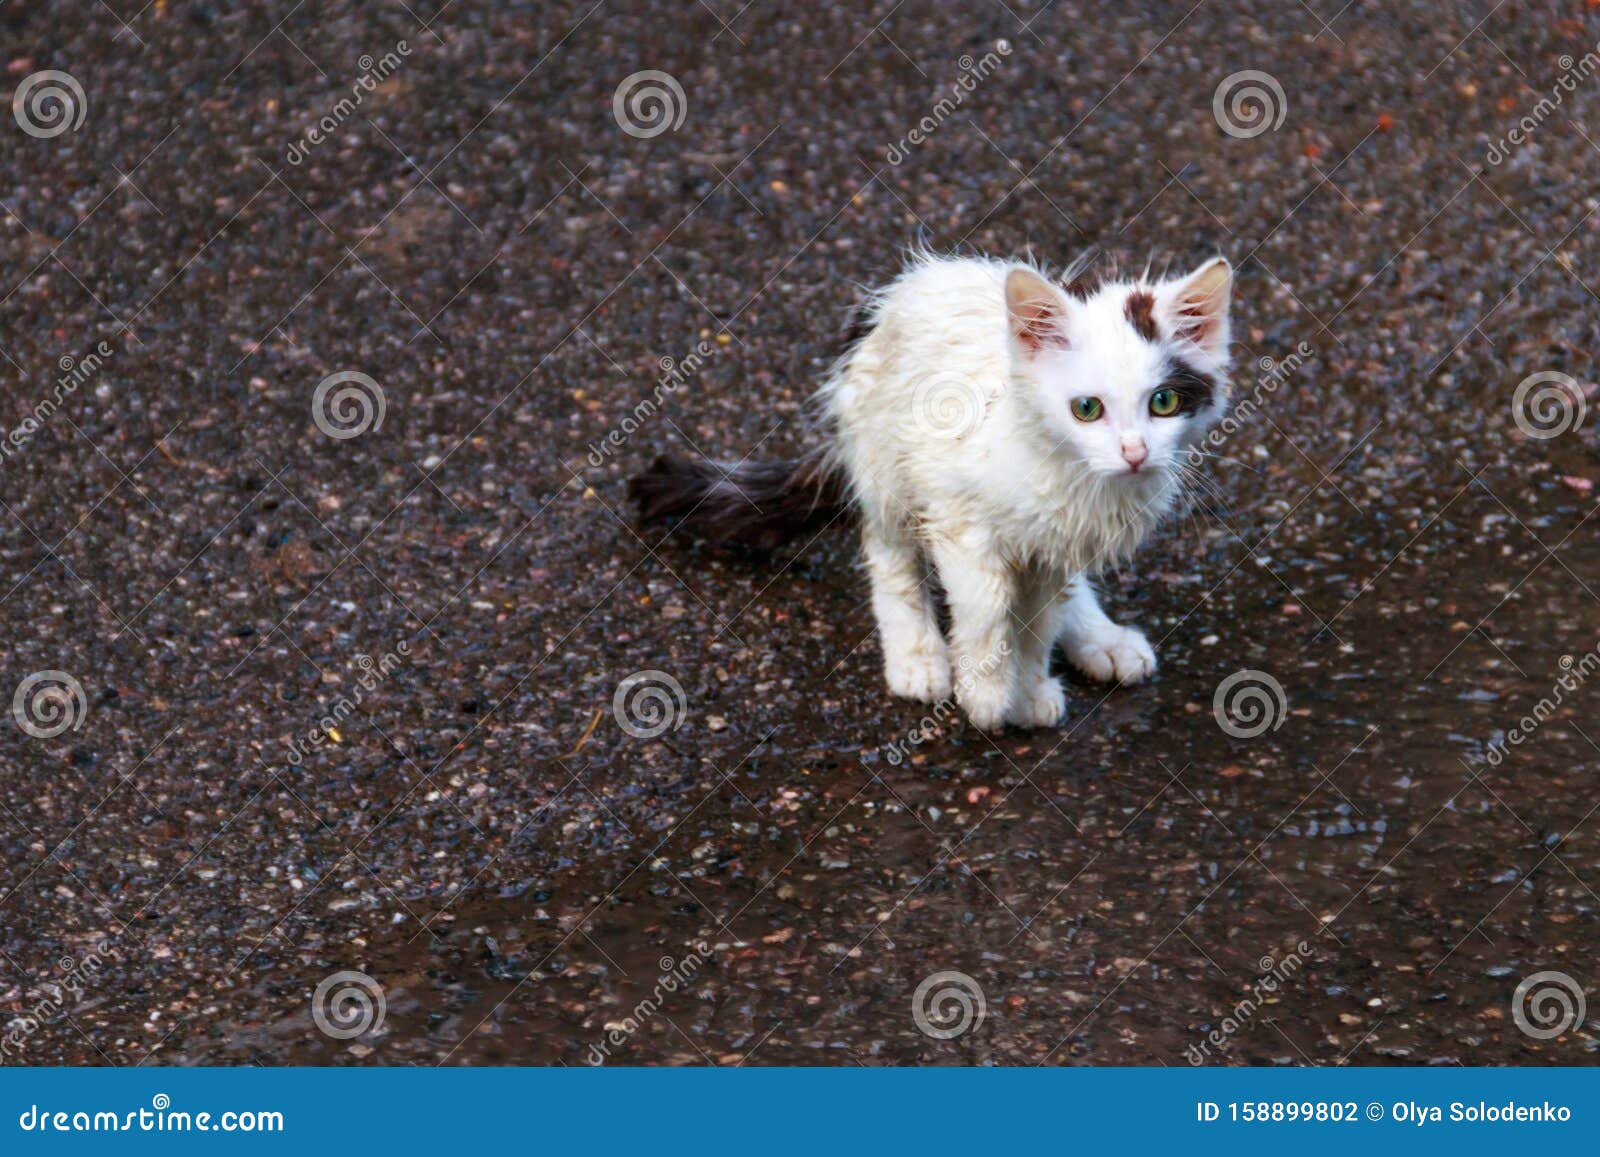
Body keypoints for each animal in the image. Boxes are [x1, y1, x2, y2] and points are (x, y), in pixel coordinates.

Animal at [630, 252, 1228, 729]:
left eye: (1163, 403)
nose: (1135, 453)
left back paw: (1100, 638)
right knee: (888, 550)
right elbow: (986, 603)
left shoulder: (1054, 547)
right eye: (1087, 408)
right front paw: (987, 692)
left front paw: (1029, 687)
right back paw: (916, 655)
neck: (1066, 471)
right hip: (883, 455)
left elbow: (1038, 620)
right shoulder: (955, 509)